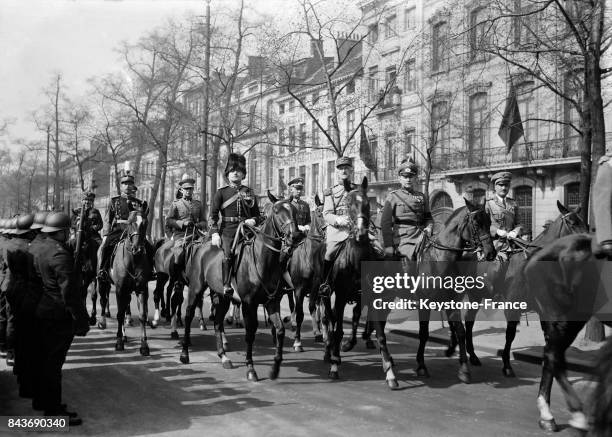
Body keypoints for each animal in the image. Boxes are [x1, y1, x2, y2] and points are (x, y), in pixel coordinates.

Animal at [110, 204, 153, 354]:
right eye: (129, 223)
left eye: (145, 223)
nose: (137, 249)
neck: (133, 260)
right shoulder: (119, 289)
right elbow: (119, 314)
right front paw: (118, 342)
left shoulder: (141, 289)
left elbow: (142, 315)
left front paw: (144, 345)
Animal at [178, 192, 300, 380]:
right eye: (277, 211)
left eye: (294, 210)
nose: (295, 235)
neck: (264, 260)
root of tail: (201, 246)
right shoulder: (249, 303)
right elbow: (250, 334)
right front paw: (251, 368)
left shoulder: (272, 302)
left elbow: (280, 330)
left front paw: (275, 368)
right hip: (195, 289)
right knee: (189, 315)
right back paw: (184, 353)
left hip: (222, 296)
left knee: (218, 322)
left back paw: (224, 356)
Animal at [444, 199, 588, 372]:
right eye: (572, 223)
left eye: (585, 224)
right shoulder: (513, 306)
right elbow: (510, 335)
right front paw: (506, 365)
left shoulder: (542, 308)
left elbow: (548, 336)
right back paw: (454, 347)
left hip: (475, 296)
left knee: (468, 321)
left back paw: (472, 355)